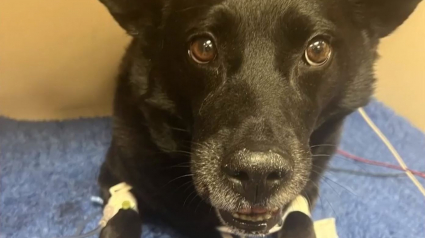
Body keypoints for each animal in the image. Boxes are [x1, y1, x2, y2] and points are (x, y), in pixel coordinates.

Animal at [97, 0, 420, 237]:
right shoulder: (115, 176)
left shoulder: (306, 192)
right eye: (203, 47)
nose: (257, 176)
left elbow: (301, 223)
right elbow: (121, 217)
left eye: (317, 50)